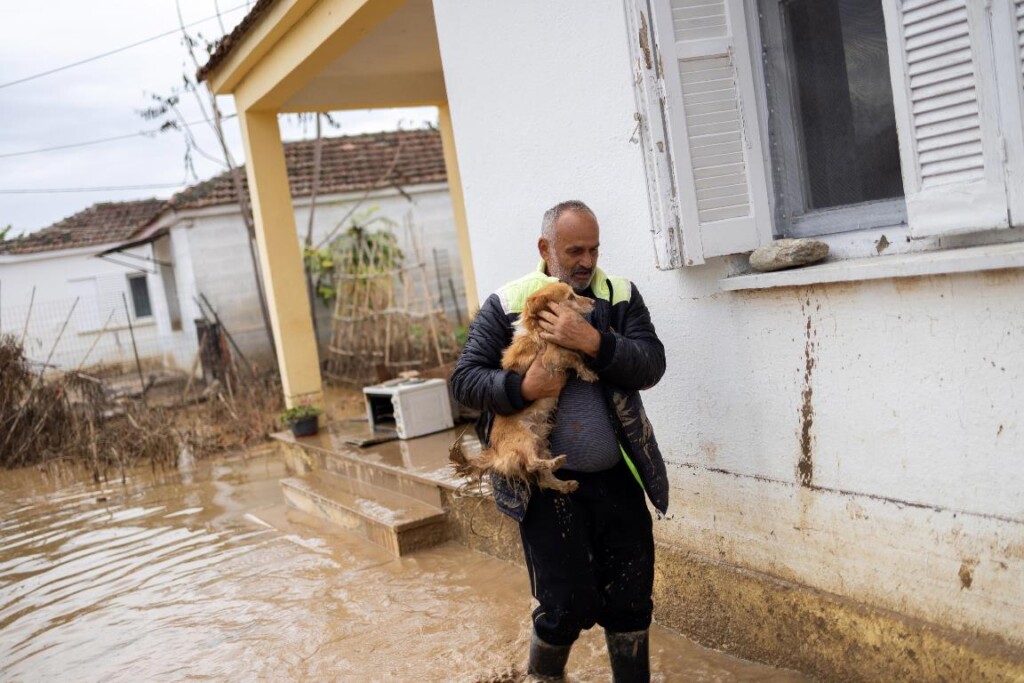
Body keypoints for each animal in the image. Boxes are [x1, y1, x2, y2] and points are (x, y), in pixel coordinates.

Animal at [450, 280, 598, 493]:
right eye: (570, 297)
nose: (594, 302)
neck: (537, 329)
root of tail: (495, 455)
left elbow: (576, 352)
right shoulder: (551, 357)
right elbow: (574, 357)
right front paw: (588, 373)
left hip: (541, 442)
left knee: (544, 478)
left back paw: (564, 482)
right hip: (526, 439)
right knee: (531, 464)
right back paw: (555, 463)